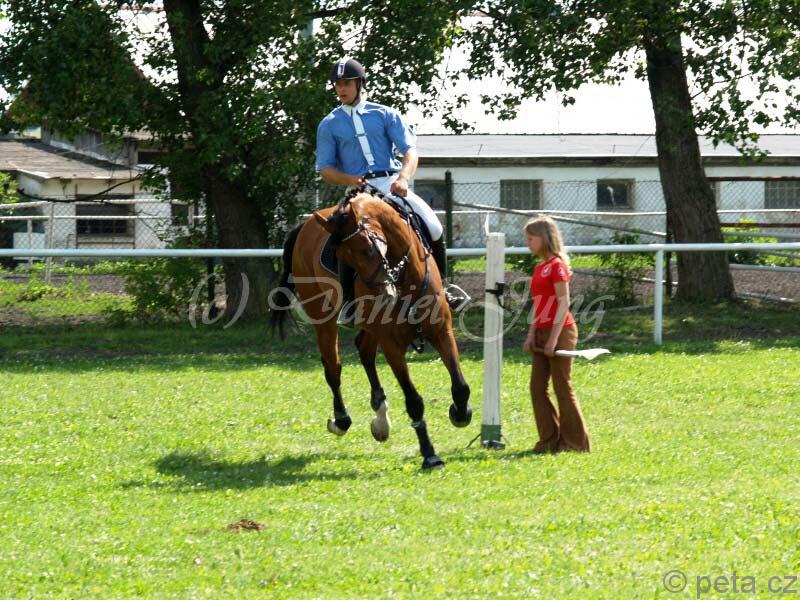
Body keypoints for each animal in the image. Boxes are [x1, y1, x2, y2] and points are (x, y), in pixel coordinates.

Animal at [270, 187, 472, 469]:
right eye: (341, 258)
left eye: (368, 249)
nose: (386, 295)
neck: (404, 277)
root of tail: (305, 225)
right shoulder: (391, 344)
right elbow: (414, 401)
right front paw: (430, 454)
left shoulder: (441, 330)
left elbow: (460, 386)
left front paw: (461, 413)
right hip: (323, 320)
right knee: (333, 367)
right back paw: (341, 419)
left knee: (363, 350)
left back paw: (380, 415)